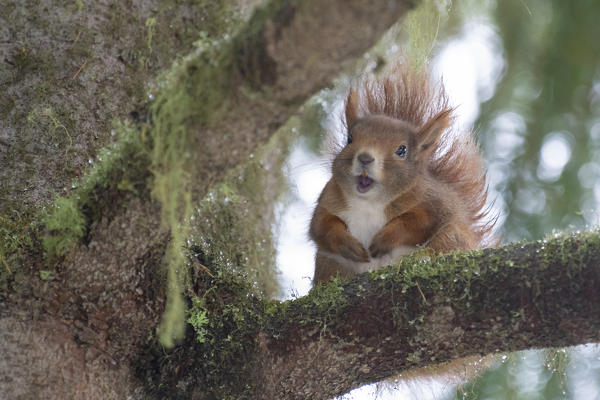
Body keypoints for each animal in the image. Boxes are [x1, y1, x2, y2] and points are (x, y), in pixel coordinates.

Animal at [310, 65, 496, 284]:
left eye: (402, 150)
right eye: (349, 139)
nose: (365, 158)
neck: (369, 203)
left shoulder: (433, 202)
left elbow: (417, 223)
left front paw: (385, 239)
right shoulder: (329, 198)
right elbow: (321, 226)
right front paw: (347, 244)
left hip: (452, 237)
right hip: (328, 263)